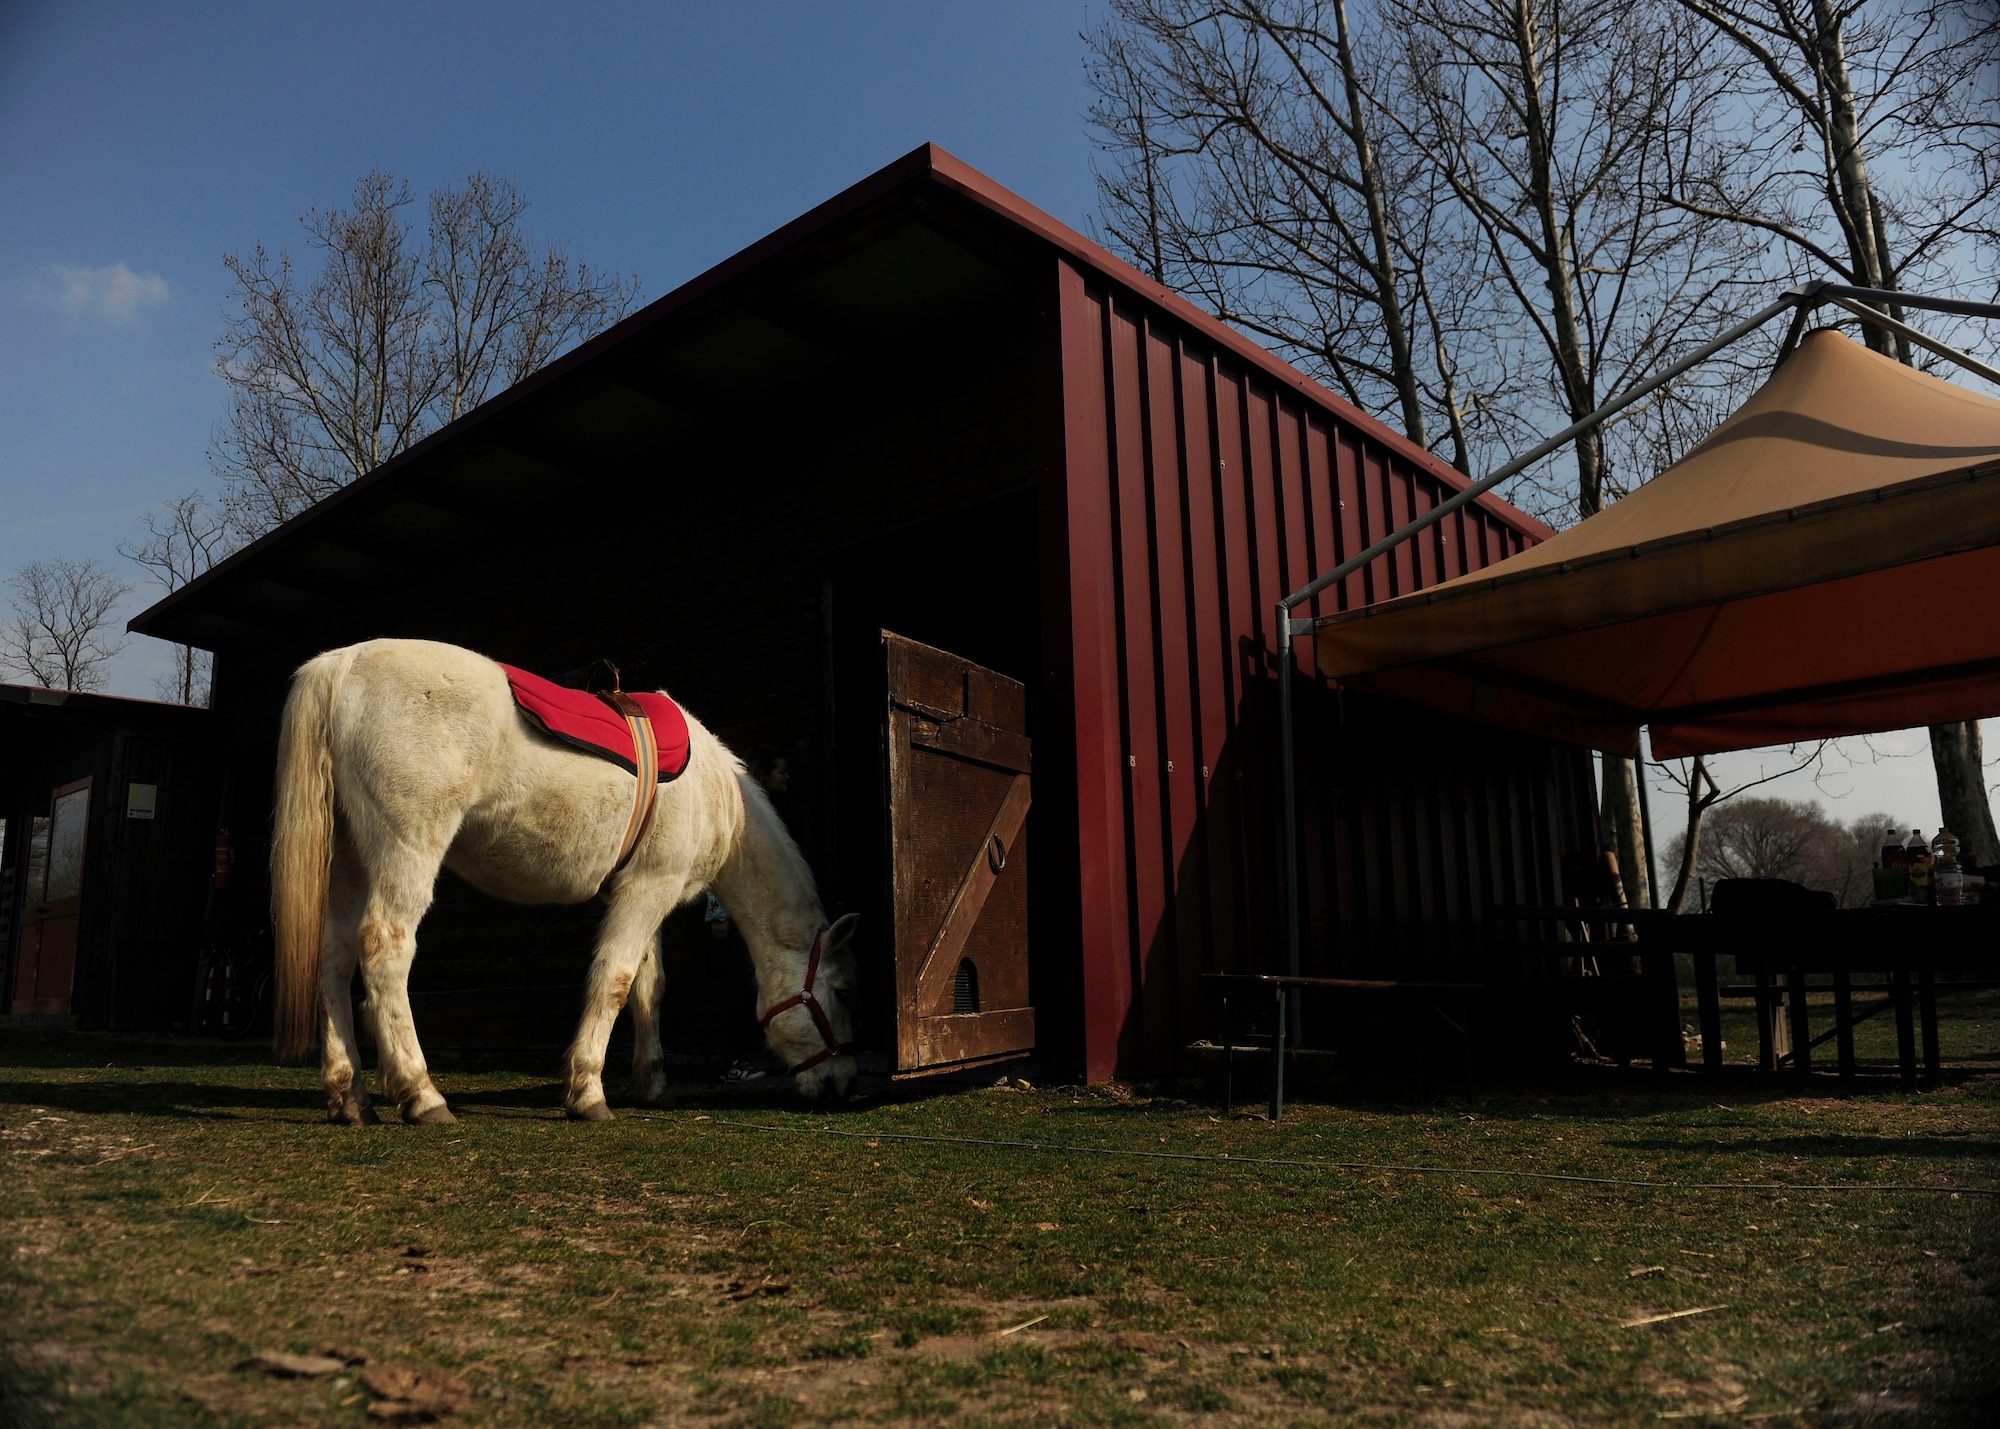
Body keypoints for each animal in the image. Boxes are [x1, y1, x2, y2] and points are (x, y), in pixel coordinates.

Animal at [268, 638, 858, 1124]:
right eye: (843, 992)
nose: (844, 1087)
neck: (718, 794)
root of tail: (342, 663)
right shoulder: (651, 888)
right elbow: (615, 980)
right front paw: (587, 1092)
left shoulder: (644, 891)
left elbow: (648, 986)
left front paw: (651, 1081)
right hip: (405, 850)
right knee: (383, 949)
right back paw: (421, 1094)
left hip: (348, 860)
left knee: (334, 960)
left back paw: (350, 1097)